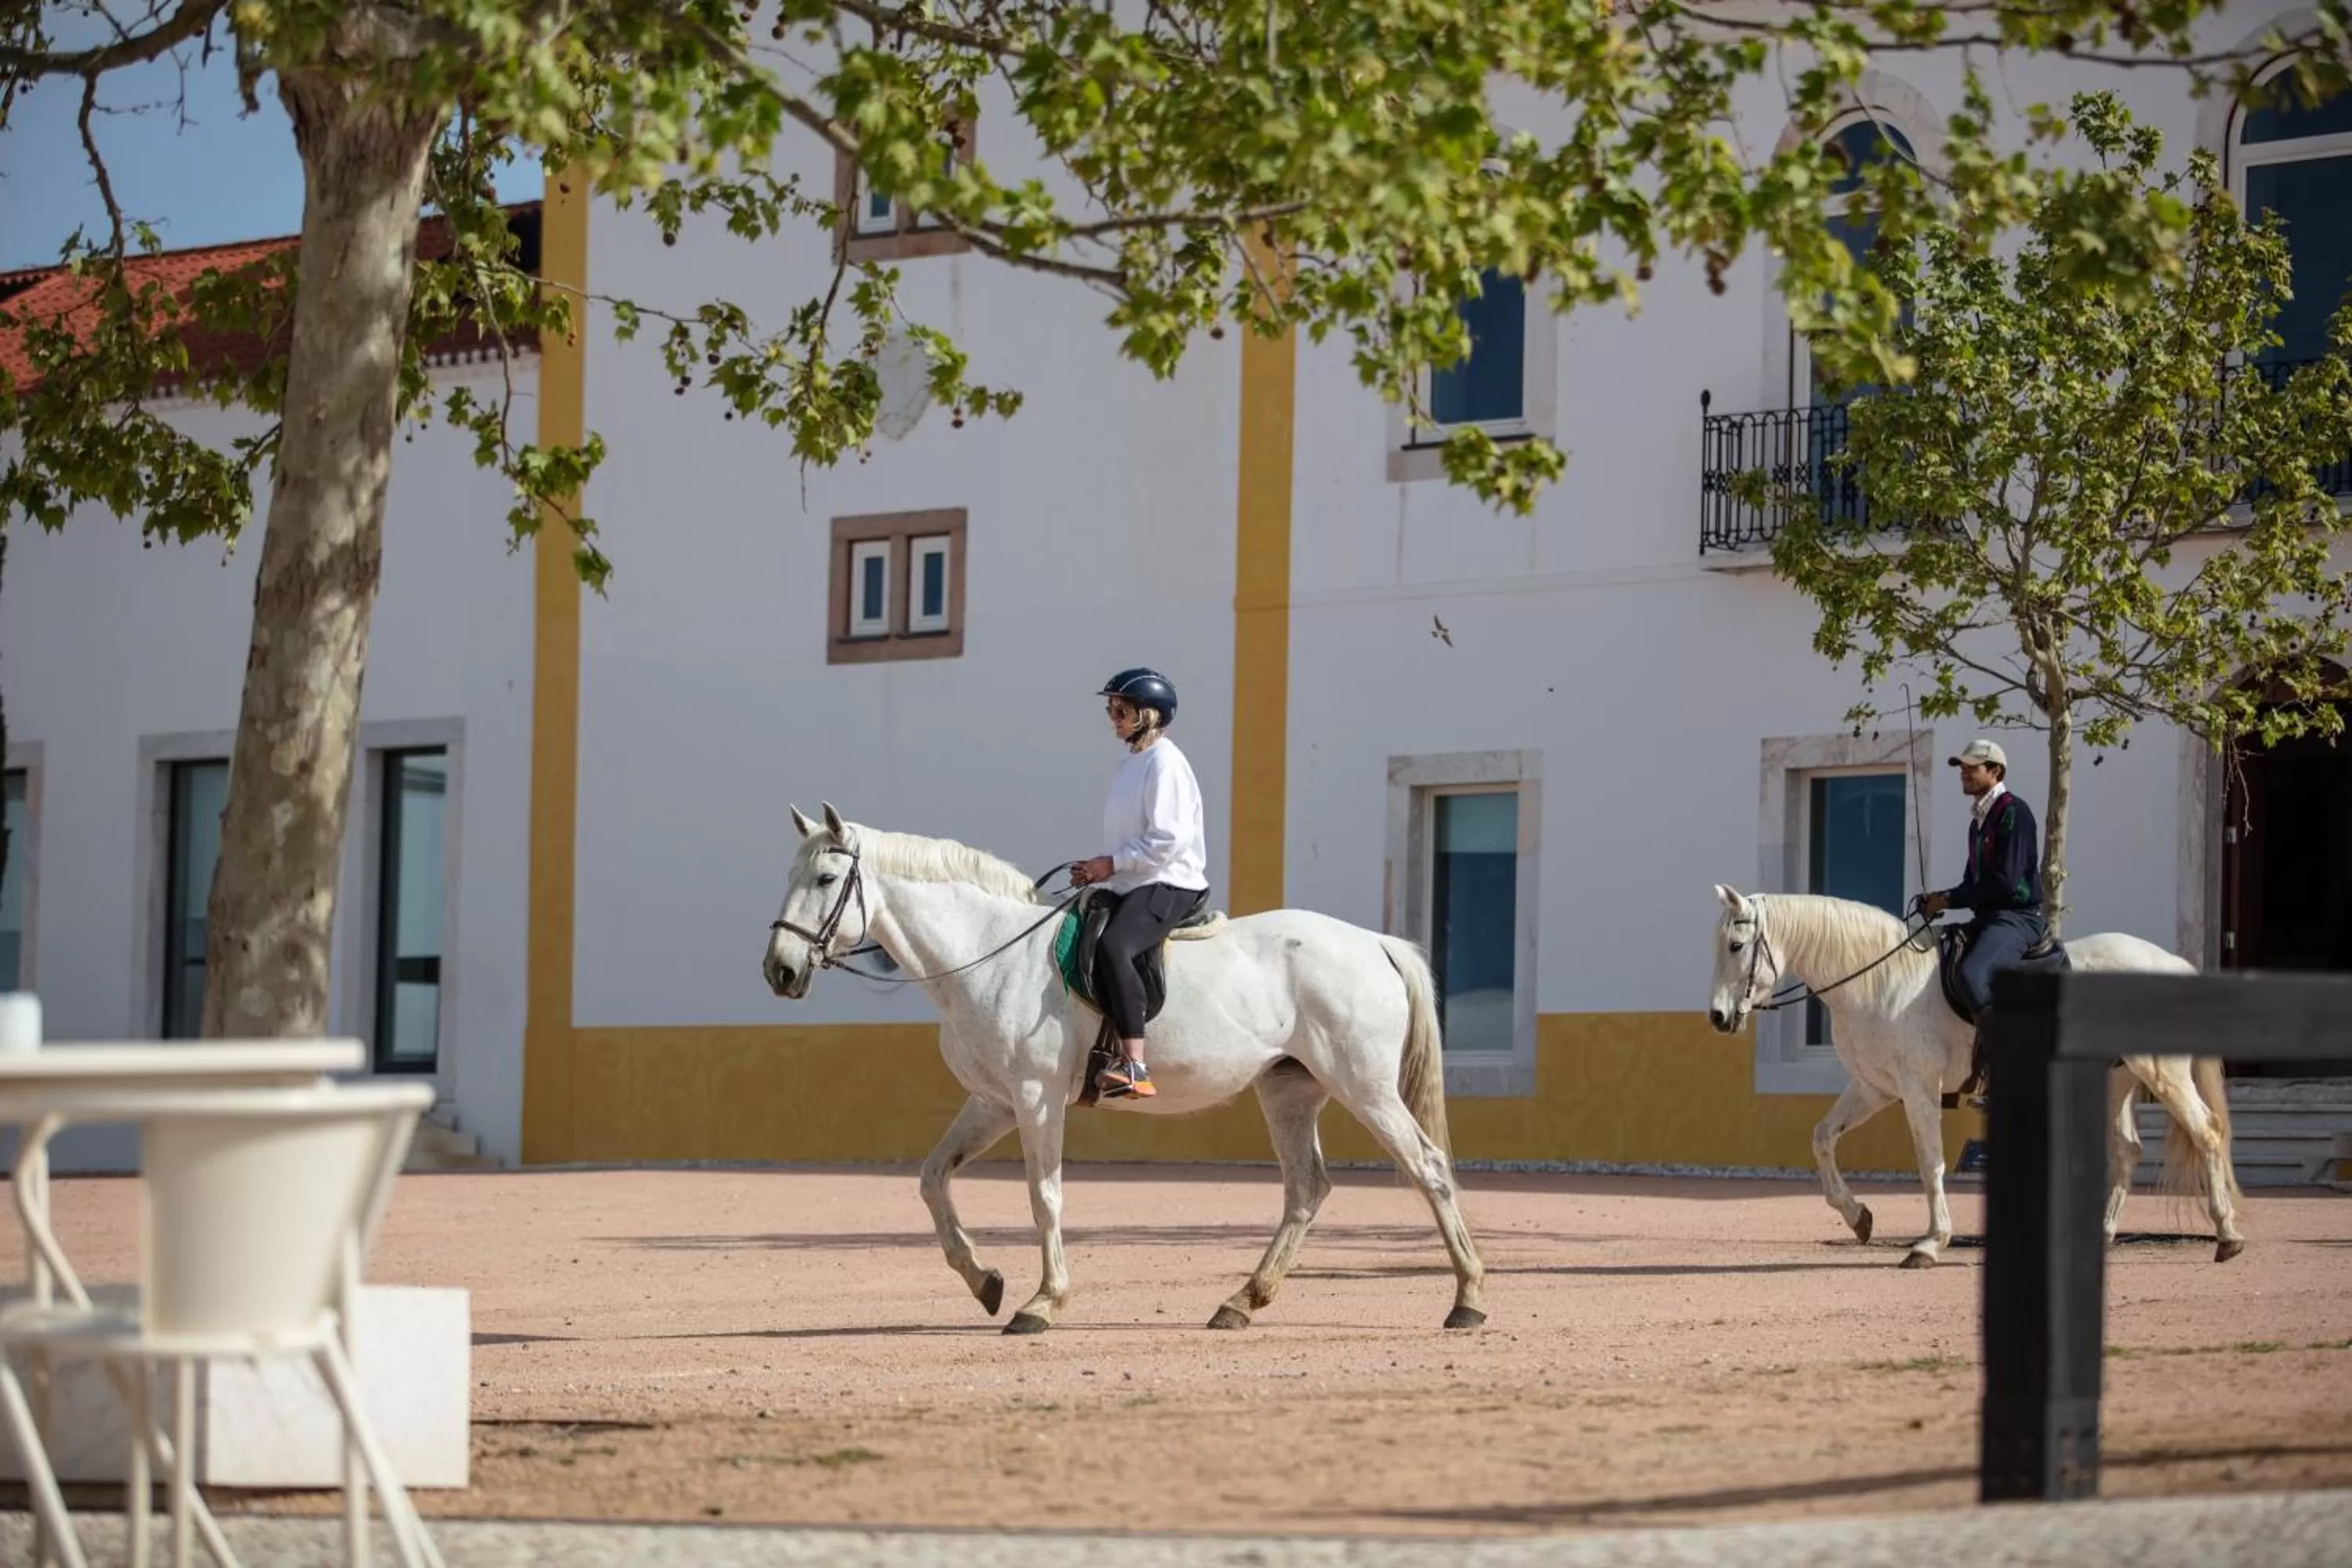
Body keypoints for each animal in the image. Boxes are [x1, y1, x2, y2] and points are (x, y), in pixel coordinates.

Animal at [760, 802, 1488, 1333]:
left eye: (826, 880)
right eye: (789, 878)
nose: (780, 971)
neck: (990, 954)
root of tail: (1376, 943)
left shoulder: (1036, 1096)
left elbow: (1044, 1196)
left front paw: (1041, 1302)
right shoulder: (993, 1101)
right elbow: (933, 1179)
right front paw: (985, 1282)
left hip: (1363, 1085)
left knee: (1428, 1169)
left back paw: (1468, 1299)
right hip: (1290, 1090)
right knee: (1306, 1189)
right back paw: (1241, 1302)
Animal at [1704, 885, 2245, 1267]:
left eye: (1736, 944)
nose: (1718, 1017)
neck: (1880, 980)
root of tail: (2169, 963)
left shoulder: (1918, 1090)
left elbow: (1930, 1164)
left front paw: (1930, 1243)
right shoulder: (1875, 1087)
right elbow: (1822, 1138)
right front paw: (1858, 1217)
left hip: (2163, 1071)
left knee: (2206, 1132)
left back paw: (2228, 1236)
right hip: (2117, 1080)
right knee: (2128, 1150)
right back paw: (2107, 1235)